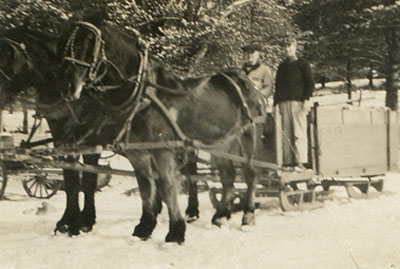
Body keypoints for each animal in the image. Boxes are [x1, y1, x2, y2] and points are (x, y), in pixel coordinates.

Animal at [56, 21, 276, 243]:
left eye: (89, 45)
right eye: (67, 44)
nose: (68, 87)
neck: (142, 94)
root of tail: (247, 83)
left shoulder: (163, 149)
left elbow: (167, 187)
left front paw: (175, 232)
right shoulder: (137, 152)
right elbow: (146, 188)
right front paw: (144, 228)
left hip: (249, 134)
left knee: (250, 173)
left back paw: (248, 217)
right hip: (220, 142)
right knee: (228, 174)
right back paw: (221, 216)